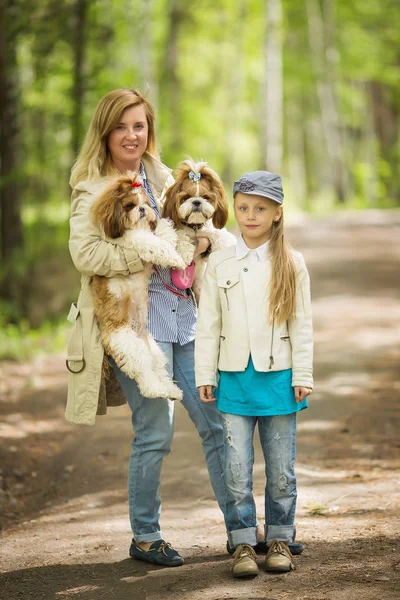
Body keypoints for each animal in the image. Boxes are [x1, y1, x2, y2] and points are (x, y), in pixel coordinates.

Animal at [162, 159, 238, 302]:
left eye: (206, 197)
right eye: (186, 197)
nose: (197, 201)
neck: (195, 226)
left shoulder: (212, 233)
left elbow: (221, 236)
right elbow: (180, 235)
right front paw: (185, 252)